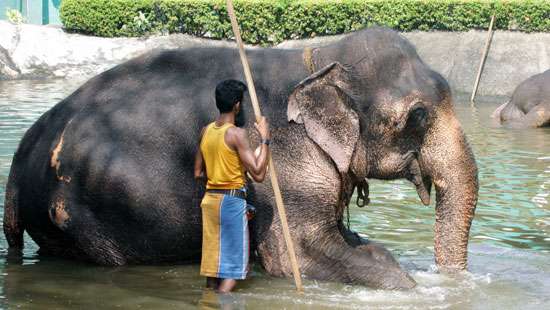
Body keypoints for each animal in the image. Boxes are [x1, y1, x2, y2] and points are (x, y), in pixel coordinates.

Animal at [3, 27, 478, 290]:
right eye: (418, 116)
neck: (320, 58)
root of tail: (22, 153)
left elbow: (348, 241)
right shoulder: (286, 158)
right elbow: (300, 256)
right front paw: (413, 287)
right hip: (90, 213)